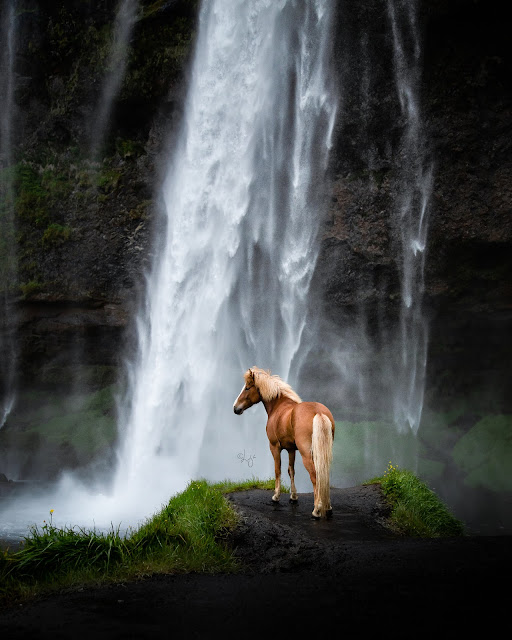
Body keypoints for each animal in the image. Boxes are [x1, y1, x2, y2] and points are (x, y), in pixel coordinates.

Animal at [233, 368, 336, 516]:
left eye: (247, 387)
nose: (235, 408)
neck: (279, 407)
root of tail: (318, 412)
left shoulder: (274, 447)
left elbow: (278, 470)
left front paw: (276, 496)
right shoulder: (291, 449)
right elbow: (291, 470)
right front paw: (293, 496)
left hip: (306, 455)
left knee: (315, 476)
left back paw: (317, 509)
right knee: (324, 475)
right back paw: (327, 507)